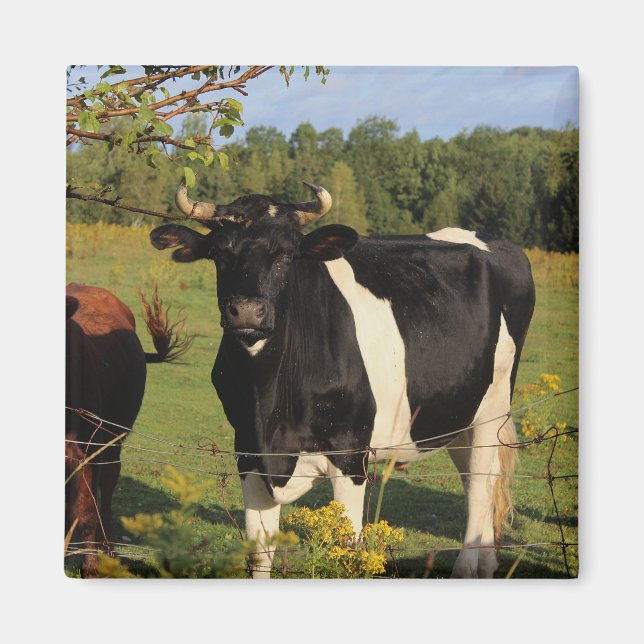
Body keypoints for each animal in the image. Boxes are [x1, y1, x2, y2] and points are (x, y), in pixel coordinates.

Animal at [65, 283, 191, 577]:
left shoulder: (84, 451)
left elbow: (84, 512)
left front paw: (91, 566)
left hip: (114, 438)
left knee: (107, 485)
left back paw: (108, 548)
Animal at [150, 180, 535, 578]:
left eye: (286, 255)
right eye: (219, 254)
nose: (247, 311)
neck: (270, 406)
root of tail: (499, 243)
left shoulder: (350, 451)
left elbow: (347, 552)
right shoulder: (249, 450)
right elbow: (259, 555)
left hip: (493, 407)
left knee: (481, 482)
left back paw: (469, 565)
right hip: (458, 412)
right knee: (476, 478)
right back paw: (487, 559)